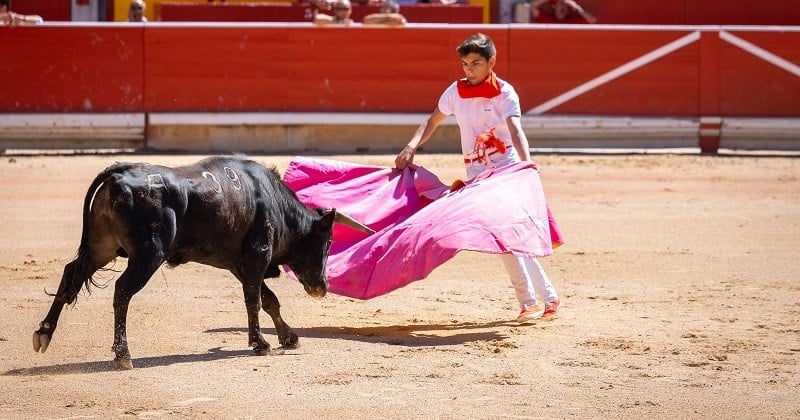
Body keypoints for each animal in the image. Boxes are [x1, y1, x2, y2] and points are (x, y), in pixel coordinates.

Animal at [32, 156, 376, 370]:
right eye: (327, 242)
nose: (322, 287)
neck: (275, 204)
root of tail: (118, 172)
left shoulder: (240, 263)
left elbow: (268, 300)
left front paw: (288, 337)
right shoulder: (258, 254)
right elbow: (254, 299)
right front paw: (260, 343)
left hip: (101, 247)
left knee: (72, 275)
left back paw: (44, 333)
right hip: (147, 255)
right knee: (122, 291)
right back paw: (123, 355)